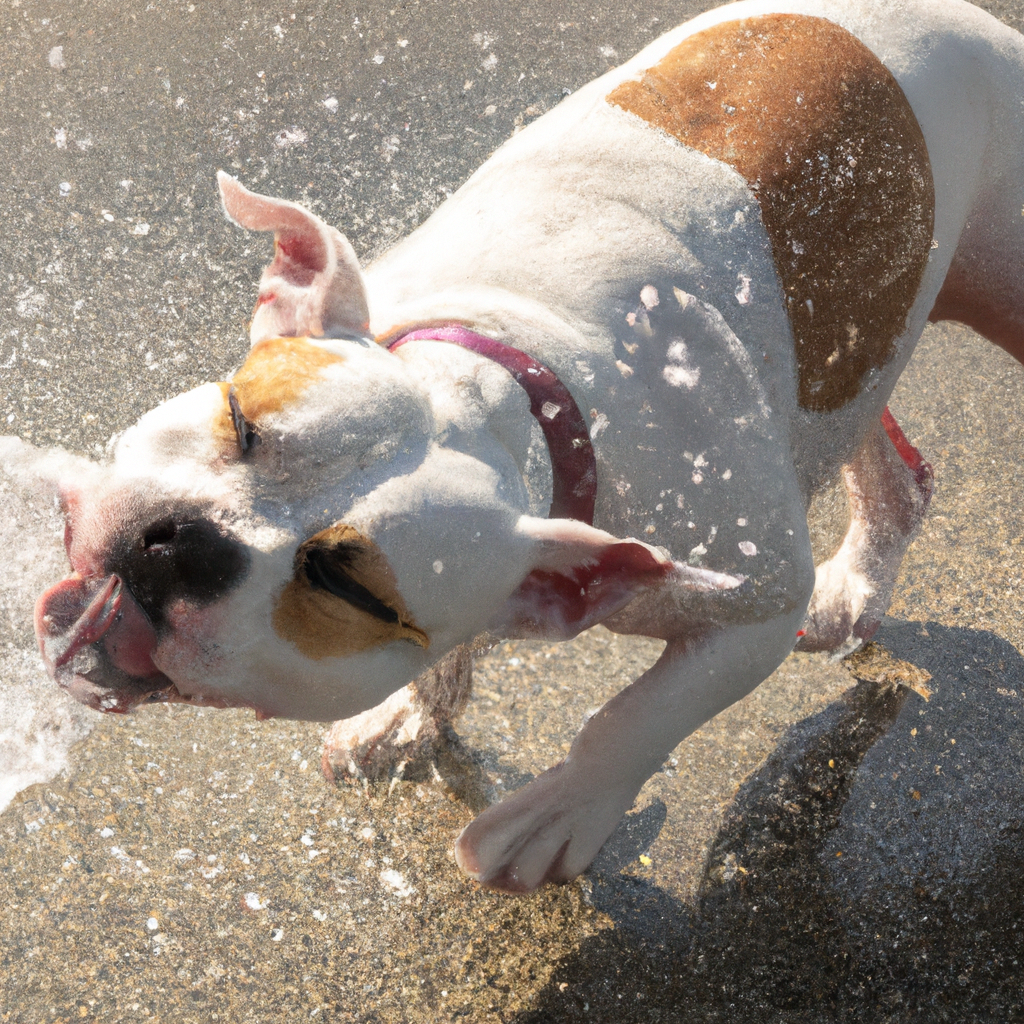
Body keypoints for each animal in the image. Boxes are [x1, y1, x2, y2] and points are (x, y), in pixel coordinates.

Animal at [9, 0, 1024, 892]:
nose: (180, 542)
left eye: (349, 590)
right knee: (870, 425)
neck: (514, 390)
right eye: (237, 418)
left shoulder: (754, 609)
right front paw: (407, 715)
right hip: (857, 337)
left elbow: (634, 716)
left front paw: (557, 815)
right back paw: (858, 585)